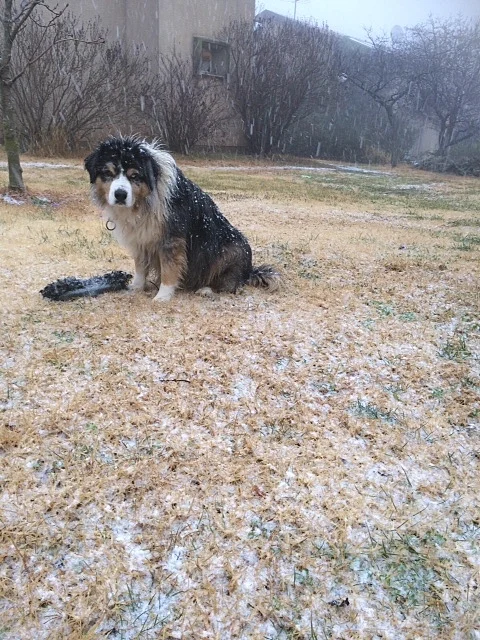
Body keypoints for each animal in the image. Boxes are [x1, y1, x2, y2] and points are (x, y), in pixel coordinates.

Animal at [84, 136, 280, 302]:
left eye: (134, 175)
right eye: (108, 173)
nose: (120, 195)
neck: (145, 201)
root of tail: (250, 272)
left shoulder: (172, 240)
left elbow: (169, 269)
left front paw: (162, 297)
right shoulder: (140, 239)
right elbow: (140, 267)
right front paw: (137, 287)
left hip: (232, 250)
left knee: (230, 284)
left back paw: (207, 289)